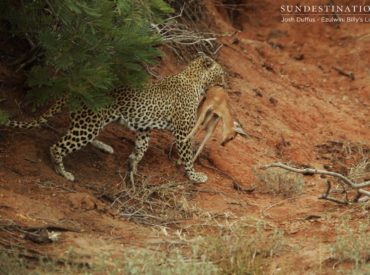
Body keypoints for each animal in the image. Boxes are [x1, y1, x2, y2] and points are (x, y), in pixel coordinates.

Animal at [2, 54, 225, 184]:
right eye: (221, 72)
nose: (226, 83)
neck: (195, 80)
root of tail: (79, 87)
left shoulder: (144, 128)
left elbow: (142, 147)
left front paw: (132, 166)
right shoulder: (183, 131)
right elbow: (187, 156)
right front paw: (195, 176)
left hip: (92, 122)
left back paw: (105, 147)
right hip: (89, 123)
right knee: (58, 146)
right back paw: (63, 172)